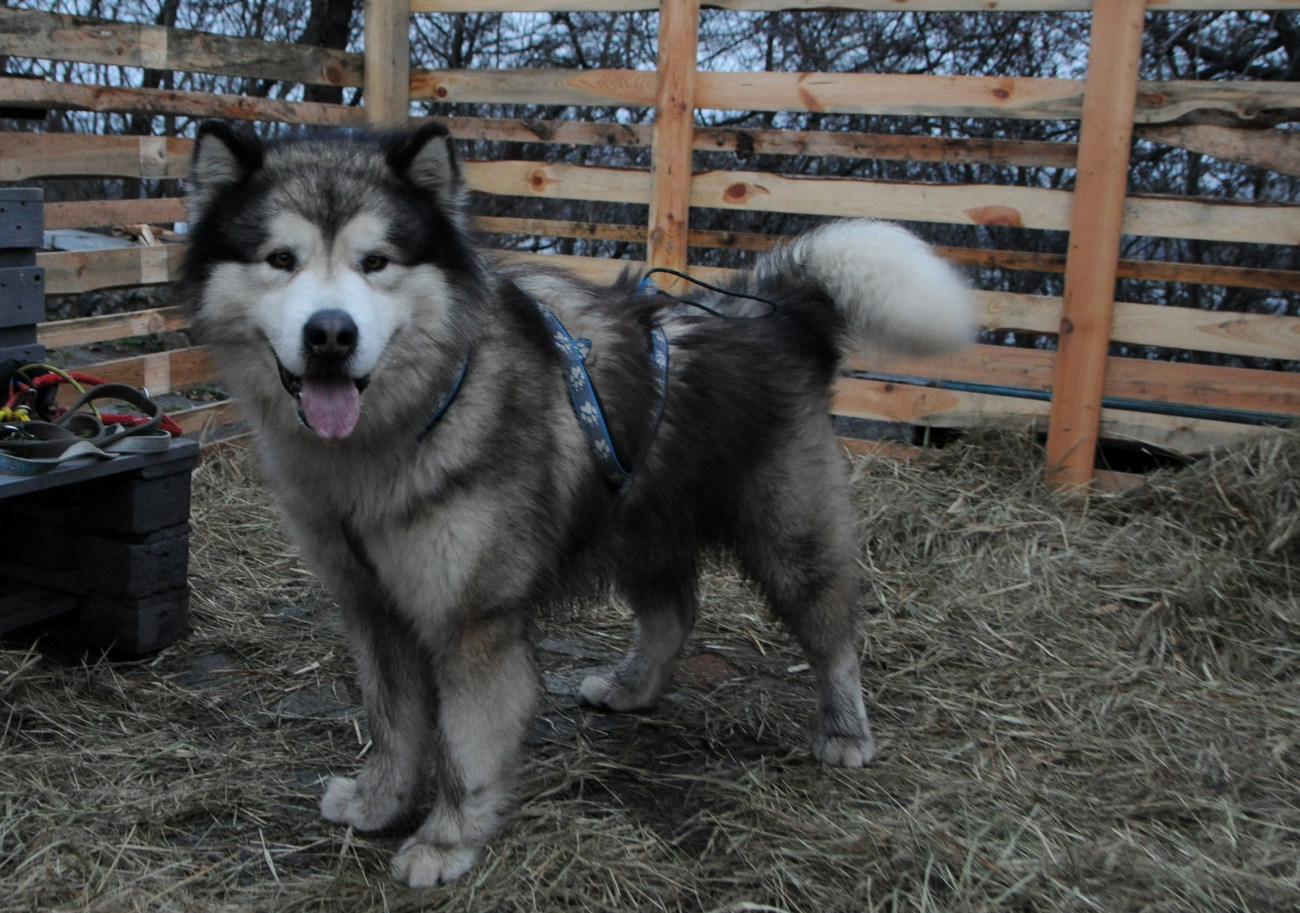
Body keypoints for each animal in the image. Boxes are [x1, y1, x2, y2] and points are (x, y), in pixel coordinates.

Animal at [183, 121, 977, 884]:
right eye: (280, 259)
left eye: (375, 262)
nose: (330, 334)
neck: (417, 416)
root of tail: (771, 314)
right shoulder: (372, 607)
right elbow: (394, 724)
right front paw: (381, 800)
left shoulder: (474, 624)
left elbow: (464, 748)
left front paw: (447, 840)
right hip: (641, 522)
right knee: (672, 614)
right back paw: (633, 687)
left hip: (788, 535)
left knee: (830, 631)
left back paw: (844, 730)